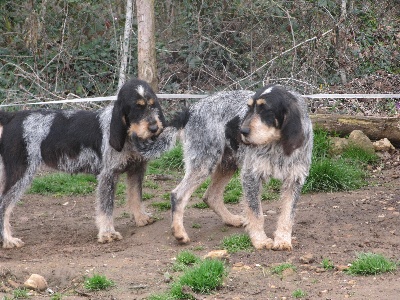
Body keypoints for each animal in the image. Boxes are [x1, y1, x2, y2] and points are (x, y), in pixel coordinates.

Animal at [0, 78, 166, 248]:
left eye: (153, 104)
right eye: (136, 108)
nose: (155, 128)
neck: (127, 135)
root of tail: (11, 117)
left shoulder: (136, 170)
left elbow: (136, 195)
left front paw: (141, 217)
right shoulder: (108, 175)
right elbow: (106, 207)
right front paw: (107, 233)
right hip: (20, 173)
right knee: (4, 205)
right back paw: (8, 239)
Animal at [139, 85, 314, 251]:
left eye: (266, 110)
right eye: (249, 108)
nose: (241, 131)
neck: (278, 145)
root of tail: (191, 110)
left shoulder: (294, 181)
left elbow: (287, 216)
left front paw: (283, 240)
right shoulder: (251, 176)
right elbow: (256, 214)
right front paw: (260, 240)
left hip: (227, 165)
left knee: (210, 196)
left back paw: (231, 219)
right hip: (205, 164)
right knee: (178, 194)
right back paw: (179, 232)